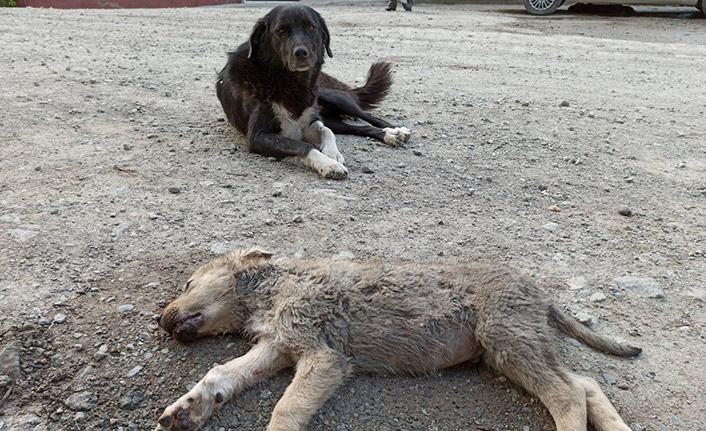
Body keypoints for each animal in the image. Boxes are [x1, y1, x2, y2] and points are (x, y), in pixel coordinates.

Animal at [154, 250, 640, 431]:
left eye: (188, 283)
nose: (160, 320)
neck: (275, 287)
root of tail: (541, 293)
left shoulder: (324, 355)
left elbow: (285, 409)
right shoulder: (278, 345)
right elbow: (221, 374)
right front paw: (185, 410)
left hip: (508, 338)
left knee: (567, 393)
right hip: (513, 348)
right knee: (584, 384)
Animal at [217, 6, 410, 179]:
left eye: (311, 27)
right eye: (281, 30)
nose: (301, 52)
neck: (289, 82)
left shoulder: (311, 122)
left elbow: (326, 131)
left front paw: (332, 154)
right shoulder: (258, 137)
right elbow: (302, 146)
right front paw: (329, 164)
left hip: (332, 97)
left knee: (368, 117)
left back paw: (395, 131)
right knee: (358, 128)